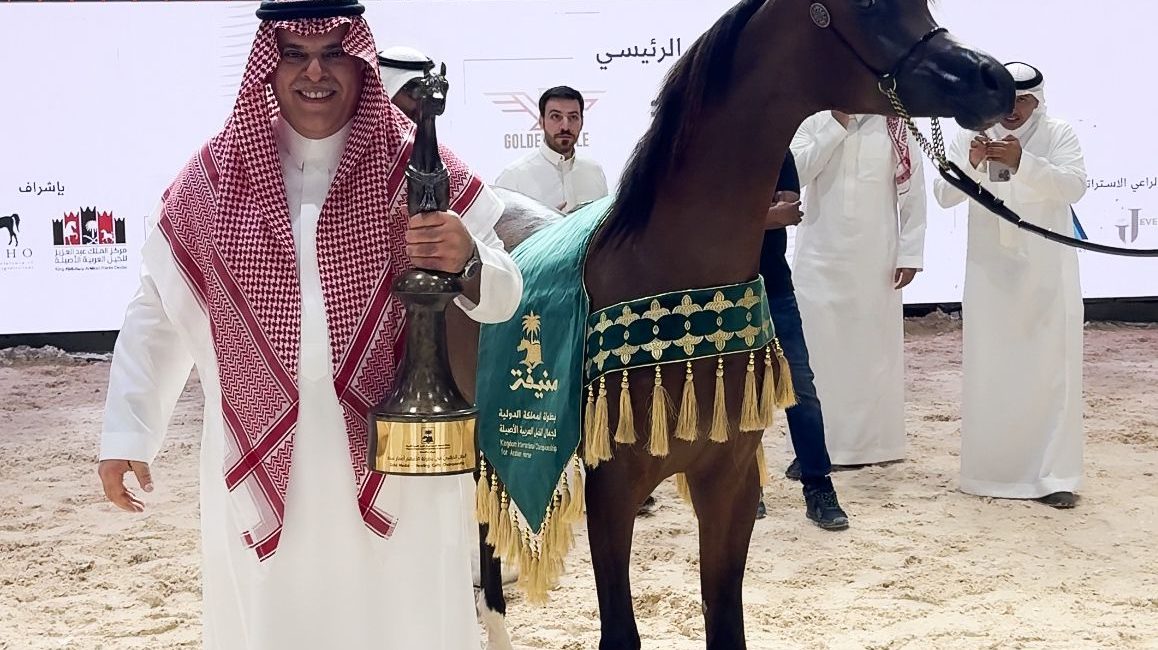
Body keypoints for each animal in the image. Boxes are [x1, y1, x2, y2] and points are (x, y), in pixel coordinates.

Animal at [449, 1, 1015, 648]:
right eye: (869, 8)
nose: (995, 80)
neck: (666, 271)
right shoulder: (613, 490)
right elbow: (621, 632)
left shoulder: (729, 481)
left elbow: (725, 622)